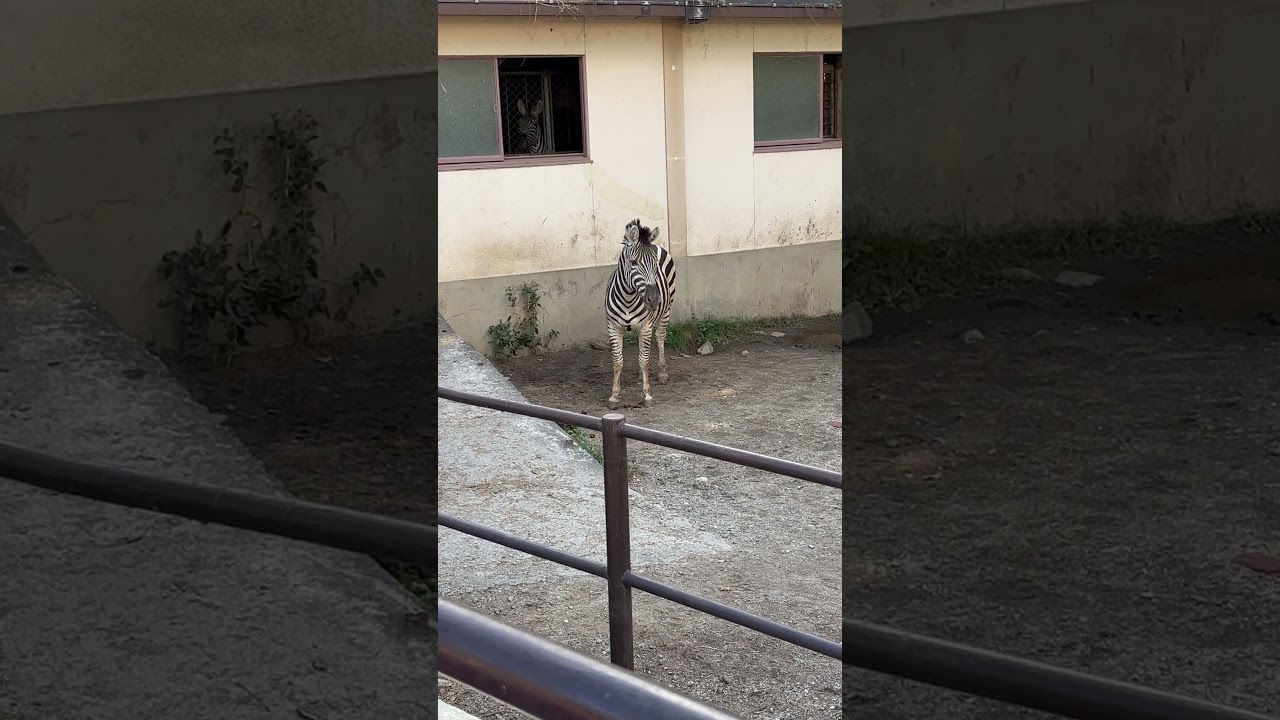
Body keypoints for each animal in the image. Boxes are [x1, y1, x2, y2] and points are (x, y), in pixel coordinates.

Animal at [605, 219, 676, 408]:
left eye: (655, 264)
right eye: (634, 262)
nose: (654, 300)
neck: (628, 297)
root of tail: (657, 244)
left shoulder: (645, 326)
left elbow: (644, 360)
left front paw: (647, 395)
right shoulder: (613, 327)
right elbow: (617, 362)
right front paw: (614, 396)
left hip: (666, 311)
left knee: (660, 337)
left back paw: (662, 373)